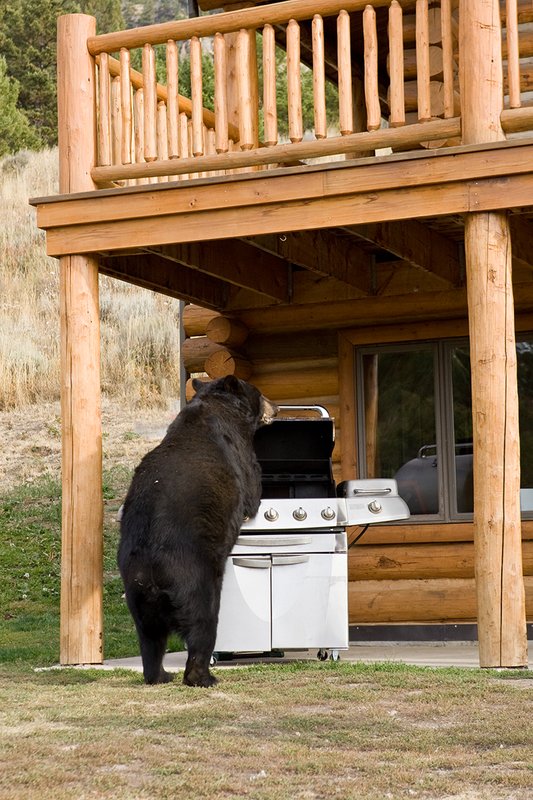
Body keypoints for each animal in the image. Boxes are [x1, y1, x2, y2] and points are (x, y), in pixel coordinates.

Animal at [117, 375, 277, 687]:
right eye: (260, 393)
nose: (275, 407)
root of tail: (151, 570)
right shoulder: (239, 451)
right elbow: (253, 486)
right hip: (195, 580)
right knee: (204, 624)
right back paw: (203, 676)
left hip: (136, 596)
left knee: (150, 639)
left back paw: (159, 674)